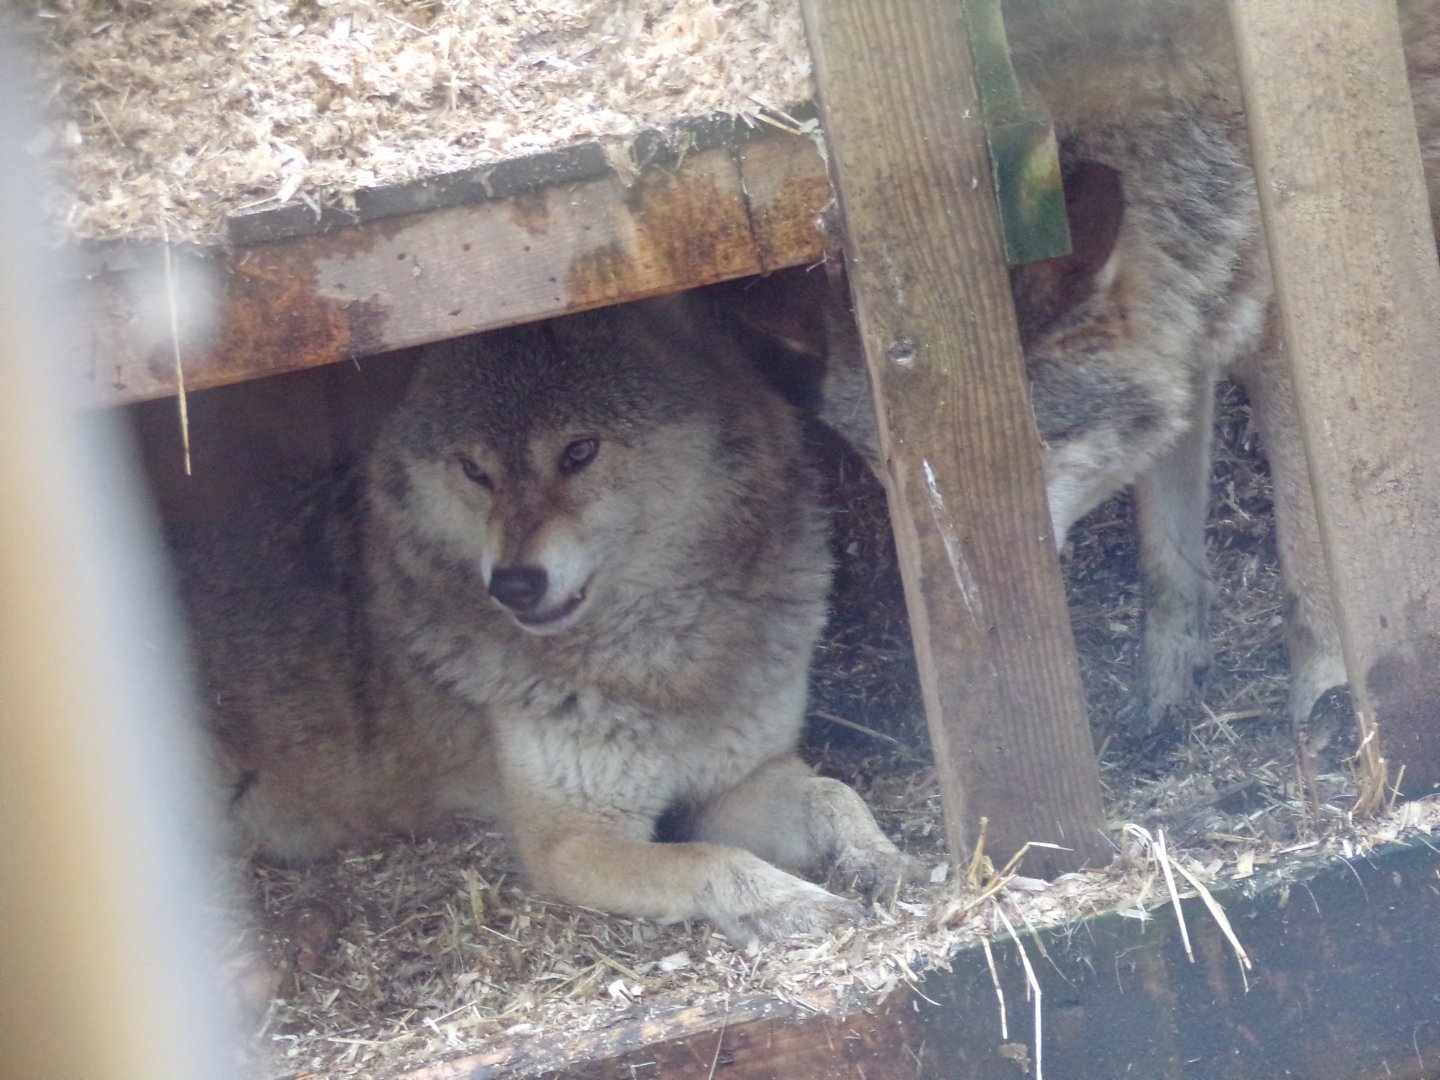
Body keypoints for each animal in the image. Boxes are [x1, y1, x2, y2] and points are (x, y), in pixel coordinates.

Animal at [176, 299, 919, 944]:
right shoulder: (572, 840)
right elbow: (709, 859)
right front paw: (796, 906)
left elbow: (833, 793)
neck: (664, 669)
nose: (512, 585)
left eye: (579, 452)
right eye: (474, 470)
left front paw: (881, 860)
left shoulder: (739, 780)